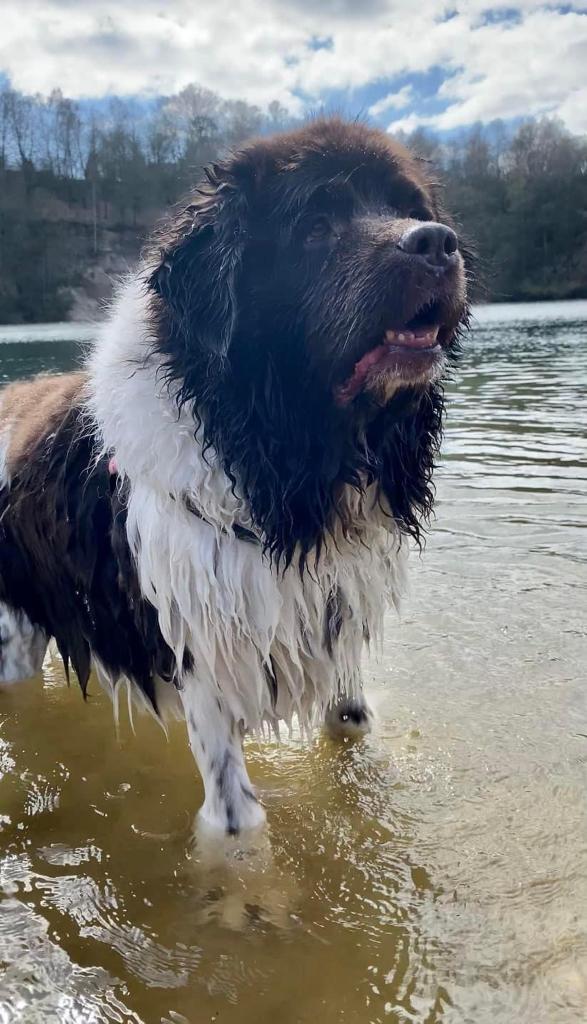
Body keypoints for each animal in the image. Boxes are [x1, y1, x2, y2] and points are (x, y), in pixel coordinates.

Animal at [0, 118, 469, 836]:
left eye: (410, 207)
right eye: (314, 225)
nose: (436, 242)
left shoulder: (333, 623)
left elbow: (351, 725)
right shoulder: (205, 664)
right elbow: (237, 824)